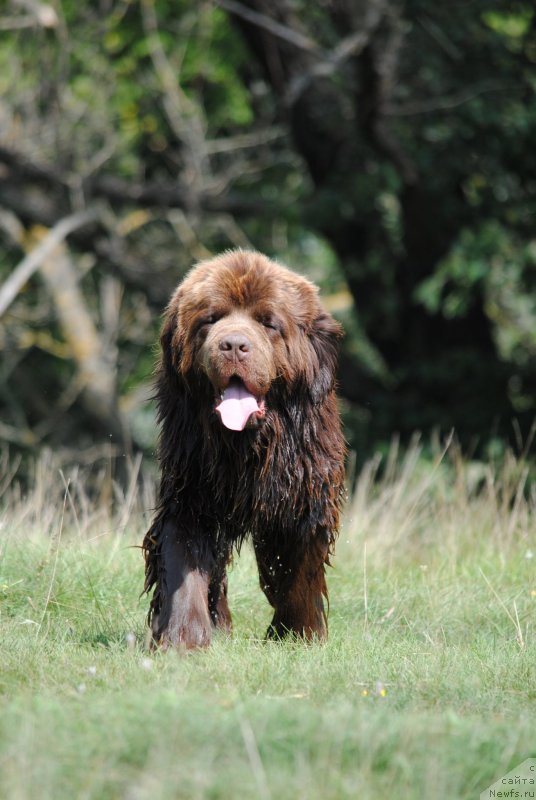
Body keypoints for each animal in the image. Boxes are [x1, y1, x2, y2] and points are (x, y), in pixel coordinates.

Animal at [142, 250, 346, 648]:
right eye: (210, 319)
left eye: (269, 323)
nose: (234, 344)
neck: (245, 445)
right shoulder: (190, 490)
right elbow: (183, 559)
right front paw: (183, 637)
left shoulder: (304, 494)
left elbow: (298, 569)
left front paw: (298, 634)